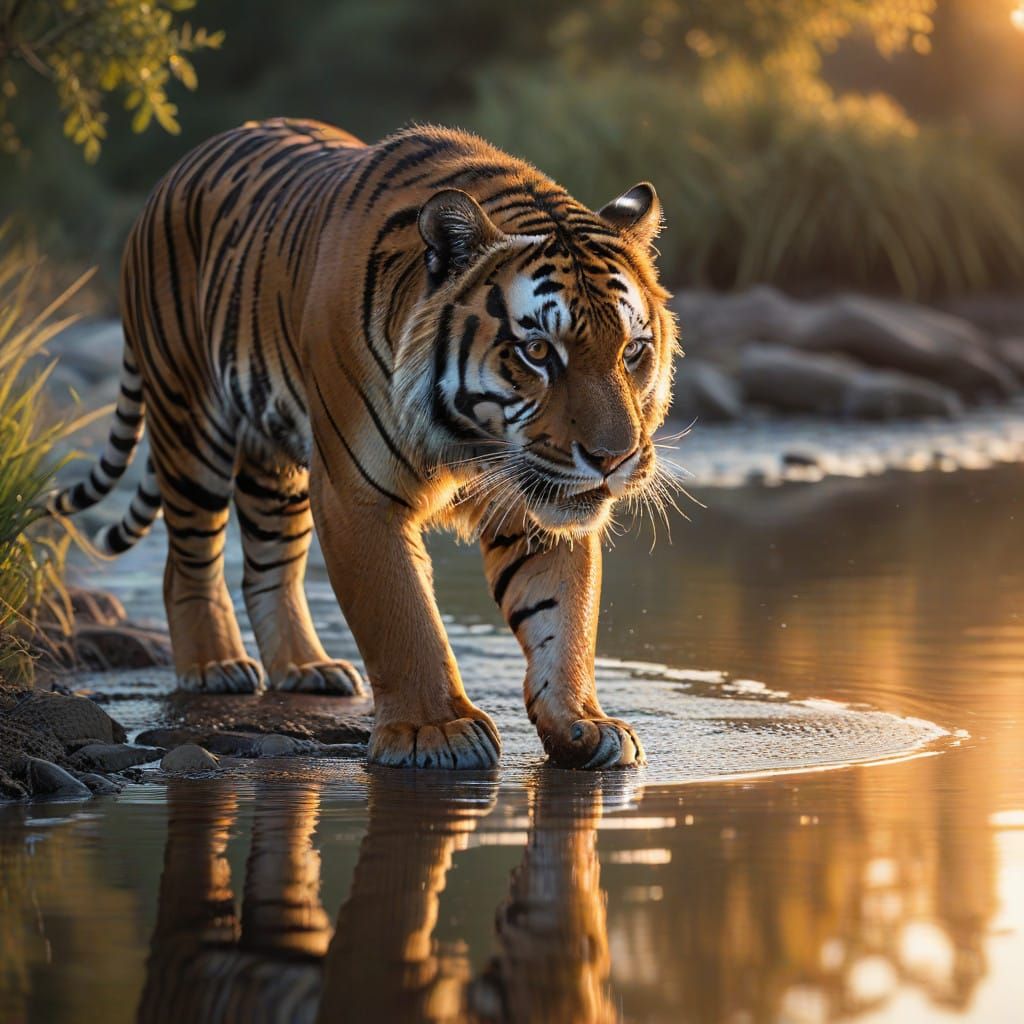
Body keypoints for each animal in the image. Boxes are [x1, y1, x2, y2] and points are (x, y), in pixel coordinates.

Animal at [49, 118, 678, 770]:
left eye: (632, 351)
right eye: (537, 352)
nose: (612, 459)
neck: (472, 440)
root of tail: (174, 173)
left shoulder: (534, 498)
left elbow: (563, 615)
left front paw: (584, 723)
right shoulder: (358, 493)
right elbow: (402, 617)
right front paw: (437, 730)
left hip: (278, 469)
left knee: (269, 566)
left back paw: (306, 669)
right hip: (190, 421)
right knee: (189, 560)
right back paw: (215, 666)